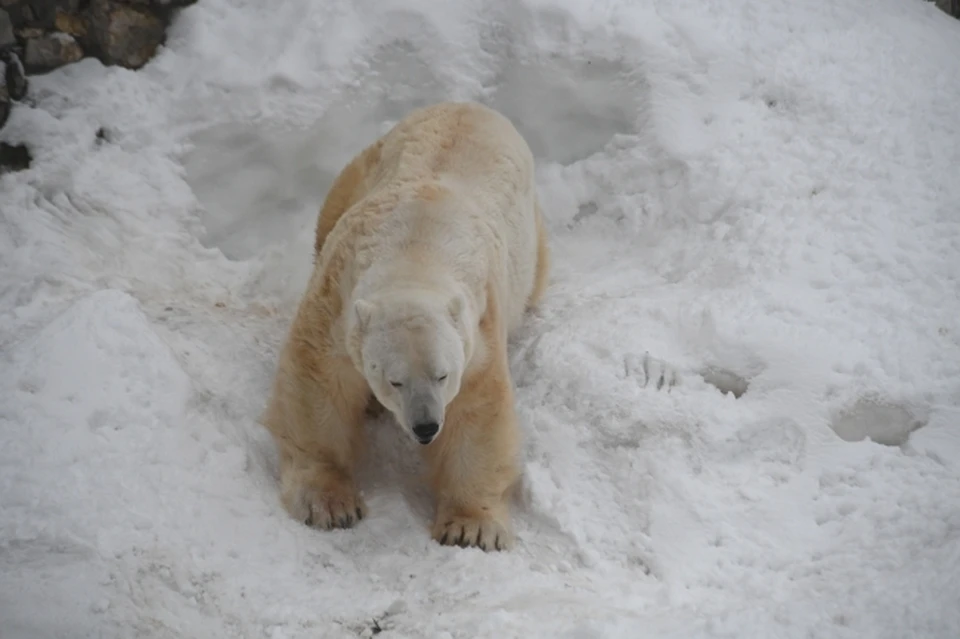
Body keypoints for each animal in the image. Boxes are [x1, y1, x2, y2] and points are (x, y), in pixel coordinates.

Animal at [260, 102, 548, 552]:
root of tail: (471, 105)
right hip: (363, 169)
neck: (416, 248)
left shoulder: (479, 330)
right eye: (393, 379)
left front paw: (471, 529)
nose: (426, 426)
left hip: (530, 244)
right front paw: (329, 504)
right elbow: (318, 385)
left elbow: (478, 414)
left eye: (442, 375)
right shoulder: (335, 303)